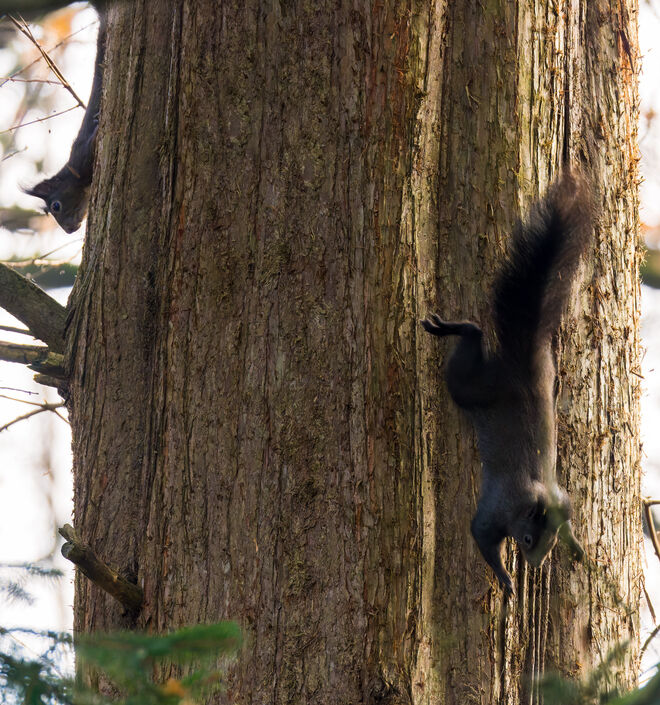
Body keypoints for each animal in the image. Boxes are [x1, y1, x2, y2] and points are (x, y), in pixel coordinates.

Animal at [421, 171, 591, 596]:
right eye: (528, 539)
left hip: (535, 371)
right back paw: (447, 327)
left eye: (550, 543)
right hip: (472, 386)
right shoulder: (498, 507)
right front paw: (505, 577)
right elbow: (480, 534)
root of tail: (521, 366)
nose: (535, 563)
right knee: (472, 338)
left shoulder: (558, 500)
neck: (536, 495)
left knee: (478, 333)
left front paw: (578, 546)